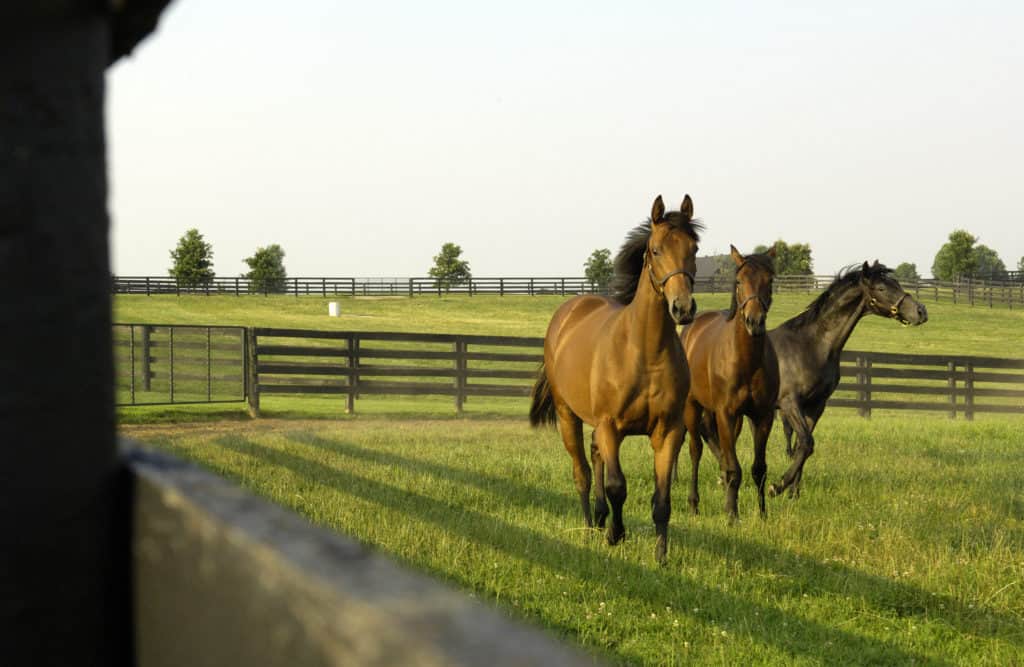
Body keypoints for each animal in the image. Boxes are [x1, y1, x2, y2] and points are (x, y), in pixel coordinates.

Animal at [529, 195, 701, 564]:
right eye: (655, 250)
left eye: (694, 248)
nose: (682, 308)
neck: (644, 353)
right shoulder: (611, 426)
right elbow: (616, 486)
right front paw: (615, 535)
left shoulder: (668, 430)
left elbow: (662, 500)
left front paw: (661, 556)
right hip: (568, 416)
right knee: (582, 471)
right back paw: (589, 527)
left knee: (595, 457)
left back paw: (598, 517)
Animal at [680, 245, 778, 522]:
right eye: (739, 281)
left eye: (770, 281)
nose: (754, 321)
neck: (746, 361)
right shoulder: (726, 413)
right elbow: (734, 468)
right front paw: (733, 516)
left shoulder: (762, 416)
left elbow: (758, 468)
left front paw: (762, 514)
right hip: (692, 408)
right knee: (696, 450)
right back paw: (693, 504)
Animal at [765, 261, 929, 498]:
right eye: (881, 288)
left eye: (897, 284)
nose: (921, 311)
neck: (810, 345)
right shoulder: (790, 403)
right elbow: (805, 442)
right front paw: (777, 486)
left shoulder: (816, 405)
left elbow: (802, 447)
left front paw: (793, 493)